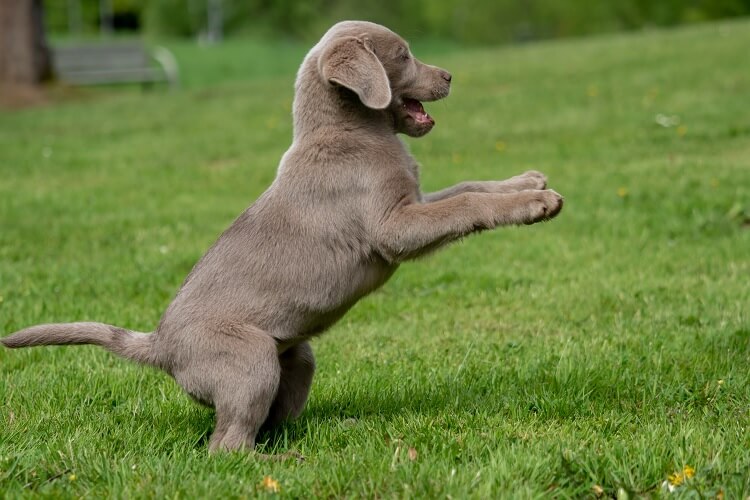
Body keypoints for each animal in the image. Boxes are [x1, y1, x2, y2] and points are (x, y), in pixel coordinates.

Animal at [1, 20, 564, 458]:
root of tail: (160, 346)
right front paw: (537, 203)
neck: (350, 131)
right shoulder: (395, 228)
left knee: (272, 423)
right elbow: (463, 205)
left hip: (294, 358)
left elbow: (468, 187)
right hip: (249, 362)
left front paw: (529, 182)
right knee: (228, 446)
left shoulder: (415, 202)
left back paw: (334, 430)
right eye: (404, 54)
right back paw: (286, 463)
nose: (449, 76)